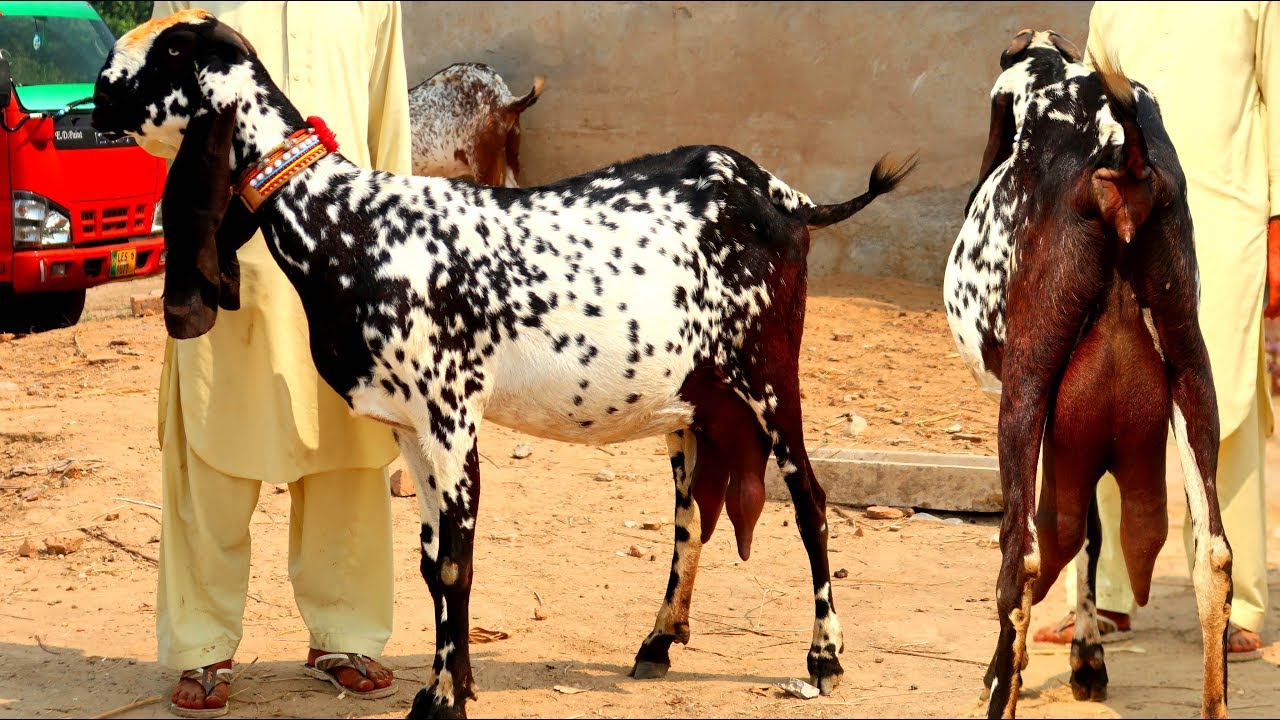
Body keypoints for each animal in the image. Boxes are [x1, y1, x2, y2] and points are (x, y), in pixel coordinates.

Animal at [97, 9, 921, 712]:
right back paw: (658, 641)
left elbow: (454, 562)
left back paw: (824, 658)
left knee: (810, 501)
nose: (96, 96)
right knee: (691, 516)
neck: (350, 225)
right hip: (692, 401)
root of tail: (784, 194)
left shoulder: (449, 415)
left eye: (163, 54)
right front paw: (455, 681)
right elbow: (431, 560)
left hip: (769, 372)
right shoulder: (410, 428)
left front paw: (440, 699)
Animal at [942, 29, 1228, 717]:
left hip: (1024, 390)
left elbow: (1066, 536)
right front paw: (1088, 657)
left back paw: (1001, 689)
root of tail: (1125, 159)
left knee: (1020, 556)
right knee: (1212, 556)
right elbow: (1092, 532)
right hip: (1191, 373)